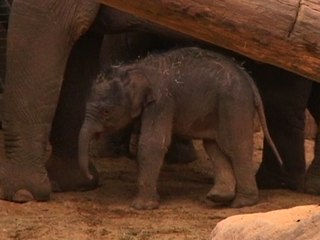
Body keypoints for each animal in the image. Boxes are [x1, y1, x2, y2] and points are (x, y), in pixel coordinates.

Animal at [79, 47, 282, 210]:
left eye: (105, 112)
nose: (90, 178)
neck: (136, 67)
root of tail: (250, 80)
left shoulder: (162, 102)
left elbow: (152, 144)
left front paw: (141, 207)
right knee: (213, 146)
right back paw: (217, 197)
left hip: (234, 104)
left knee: (235, 147)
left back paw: (242, 203)